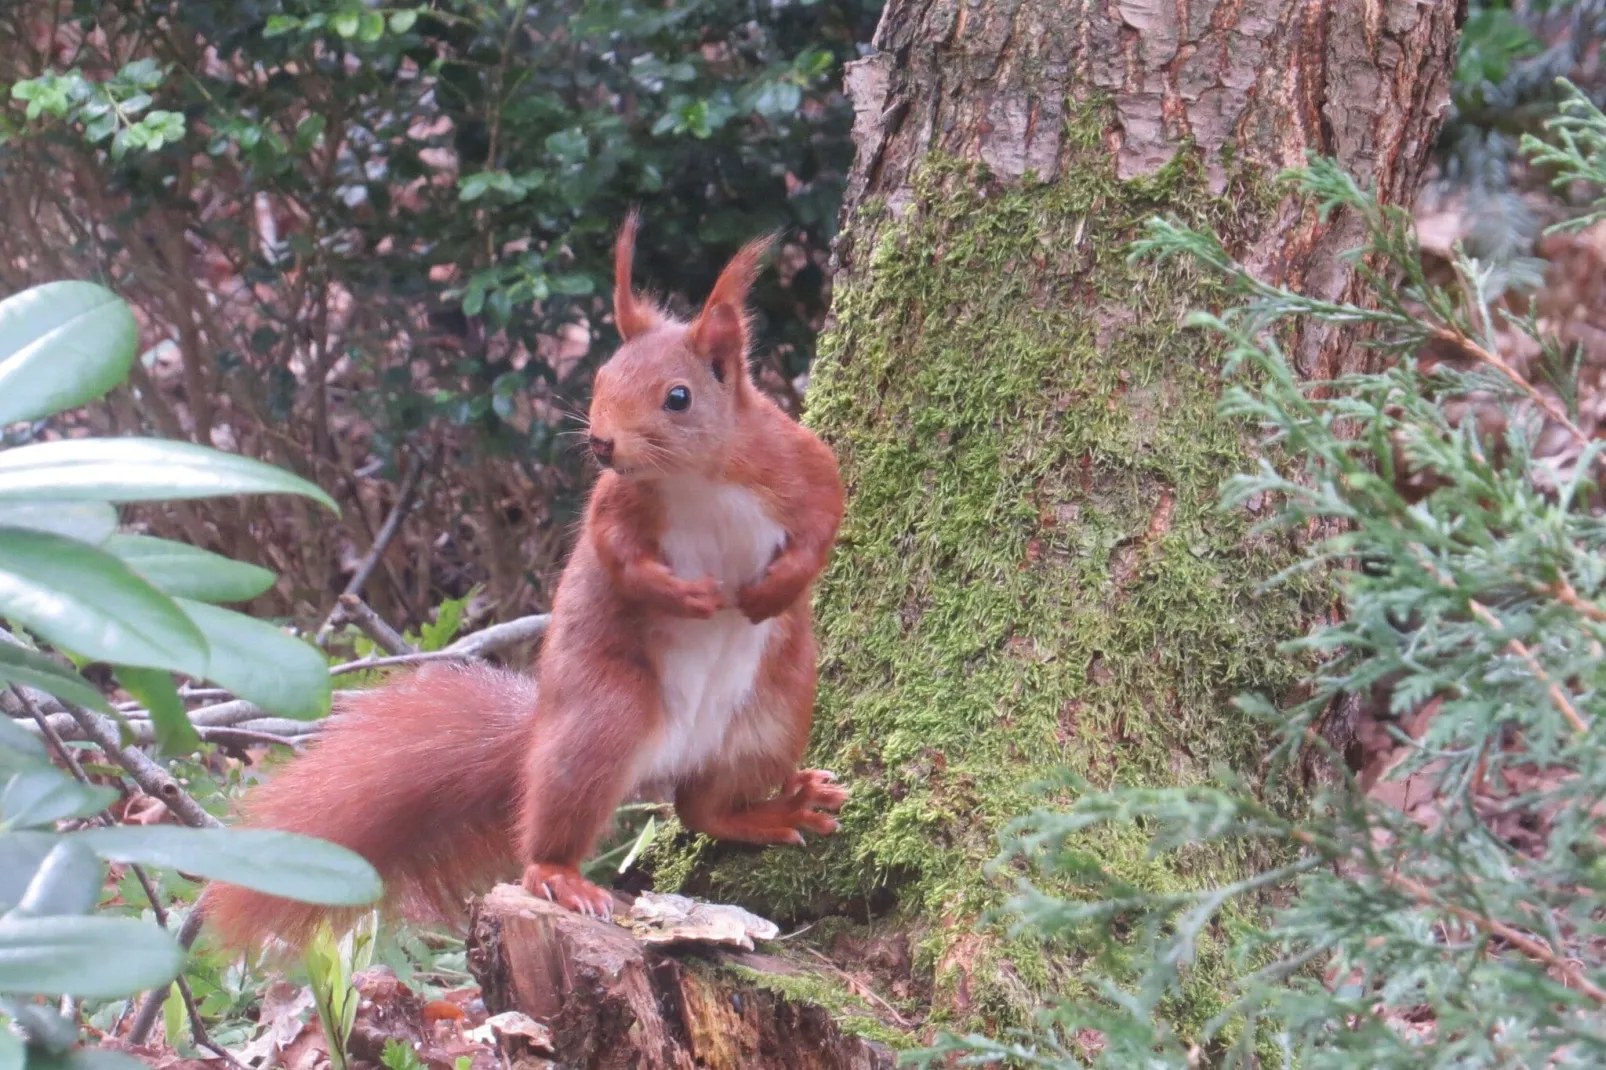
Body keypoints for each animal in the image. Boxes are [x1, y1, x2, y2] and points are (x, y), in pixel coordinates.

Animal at [205, 215, 854, 944]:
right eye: (601, 376)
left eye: (679, 397)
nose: (601, 442)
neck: (698, 478)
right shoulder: (617, 503)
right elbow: (617, 555)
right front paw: (689, 595)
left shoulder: (795, 460)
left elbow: (827, 517)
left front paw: (775, 590)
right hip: (603, 719)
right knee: (561, 822)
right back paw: (561, 876)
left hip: (773, 716)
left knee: (703, 809)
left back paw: (777, 810)